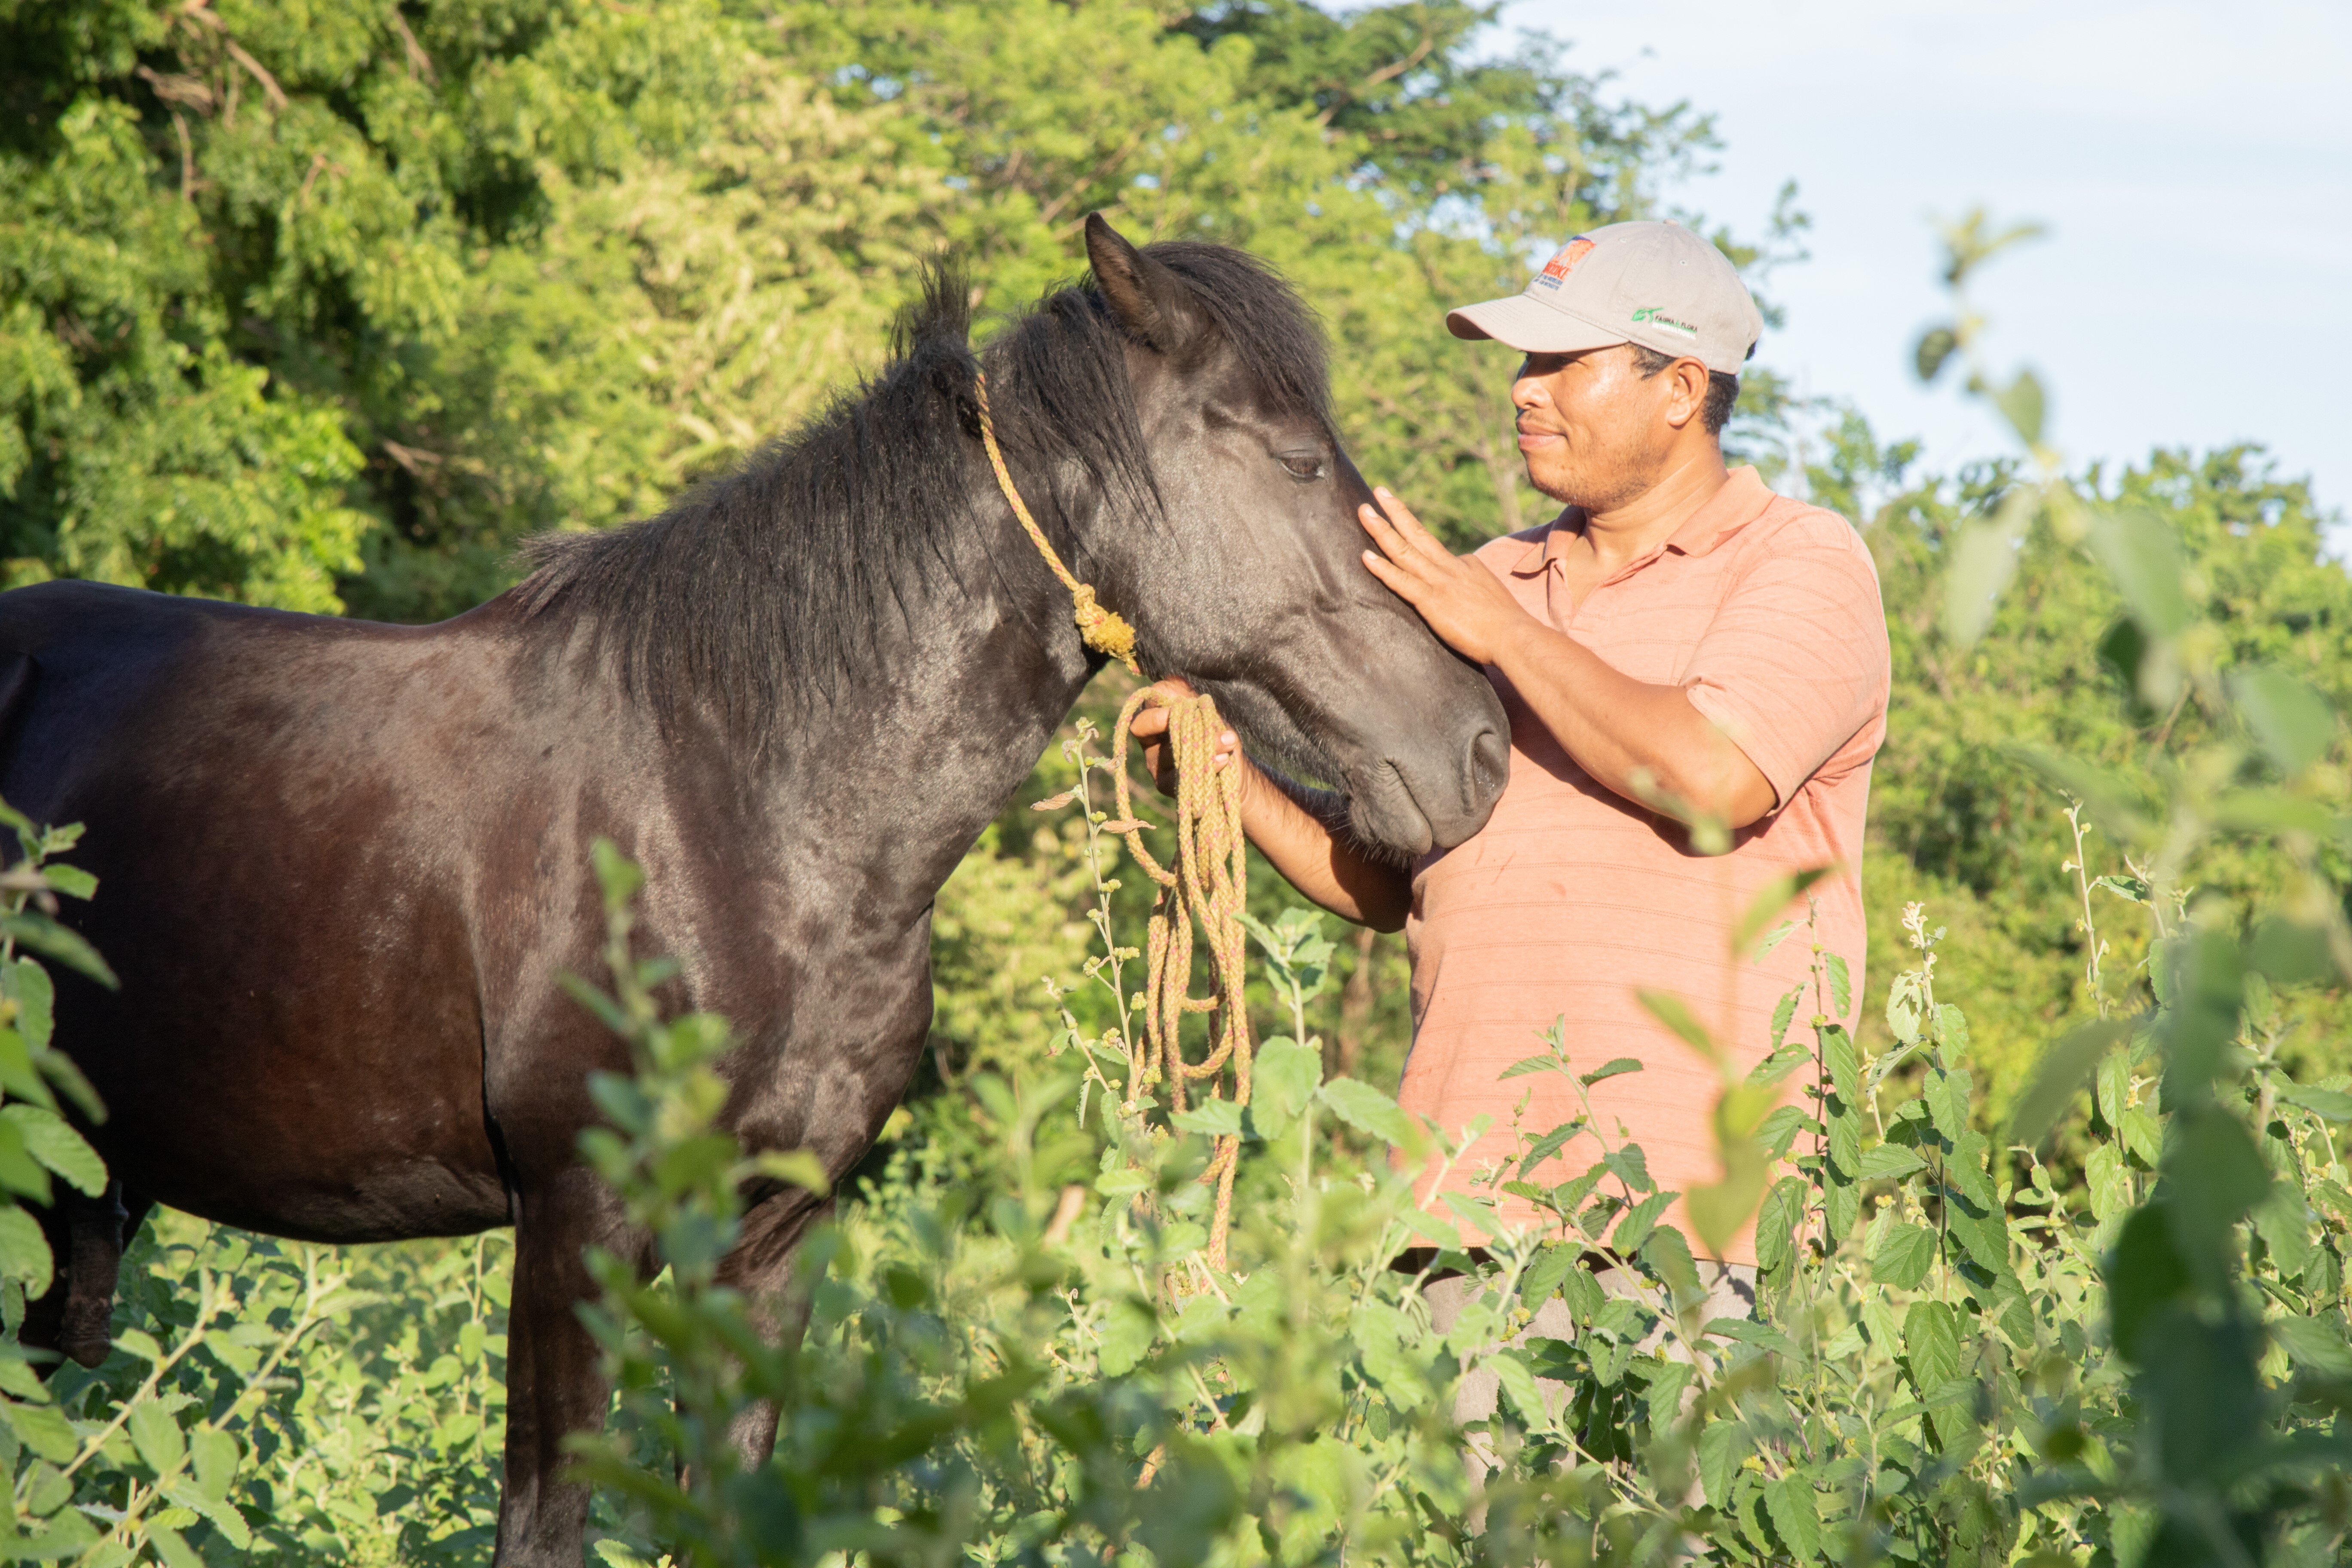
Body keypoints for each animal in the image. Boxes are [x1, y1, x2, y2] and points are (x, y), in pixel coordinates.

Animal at [0, 215, 1509, 1564]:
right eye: (1298, 457)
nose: (1480, 749)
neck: (731, 806)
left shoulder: (774, 1236)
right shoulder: (579, 1228)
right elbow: (544, 1530)